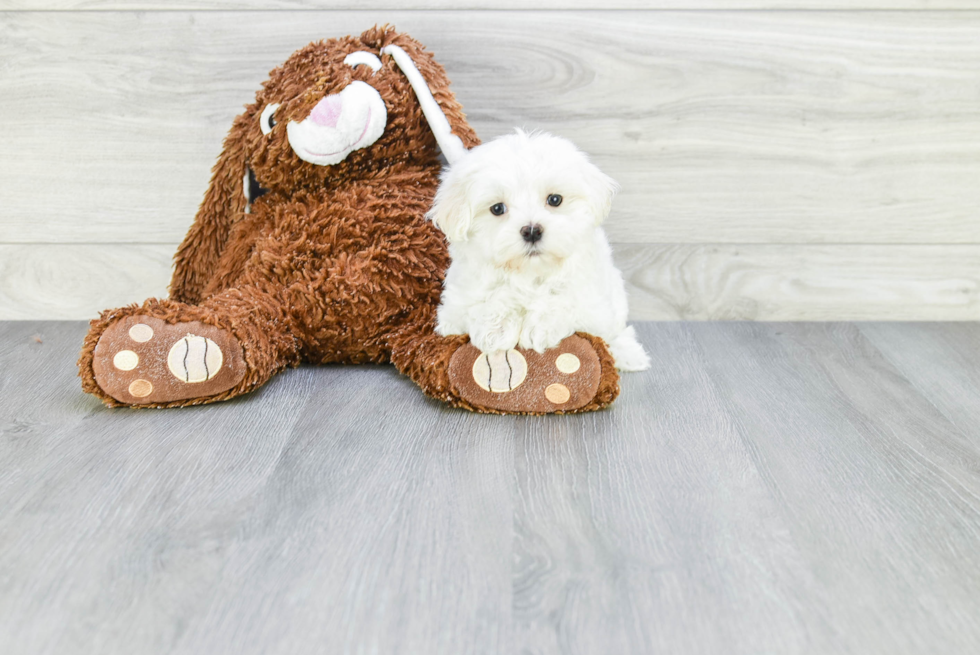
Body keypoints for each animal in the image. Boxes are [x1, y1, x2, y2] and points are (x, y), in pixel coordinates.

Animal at [428, 131, 652, 372]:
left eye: (555, 199)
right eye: (497, 208)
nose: (532, 231)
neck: (529, 273)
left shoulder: (591, 303)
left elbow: (563, 300)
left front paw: (540, 327)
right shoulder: (455, 308)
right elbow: (489, 299)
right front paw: (496, 328)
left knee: (615, 331)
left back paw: (628, 354)